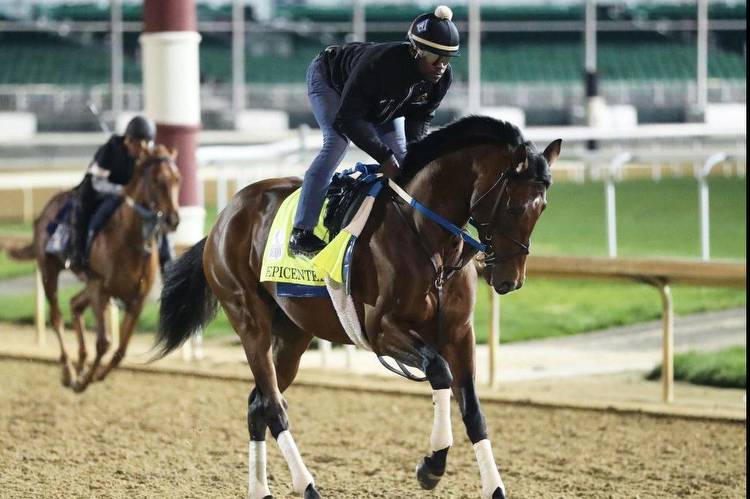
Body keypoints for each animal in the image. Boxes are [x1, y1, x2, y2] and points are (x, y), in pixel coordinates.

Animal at [5, 145, 181, 394]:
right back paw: (69, 371)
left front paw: (94, 374)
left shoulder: (137, 297)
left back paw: (80, 362)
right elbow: (104, 342)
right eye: (156, 180)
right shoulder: (100, 288)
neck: (130, 239)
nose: (173, 219)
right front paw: (83, 380)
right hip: (50, 270)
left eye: (178, 179)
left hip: (89, 284)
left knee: (75, 304)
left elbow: (121, 350)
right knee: (57, 318)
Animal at [156, 115, 560, 498]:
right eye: (515, 207)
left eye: (542, 209)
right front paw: (432, 464)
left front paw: (494, 487)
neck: (427, 237)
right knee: (273, 405)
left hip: (292, 335)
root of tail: (224, 217)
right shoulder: (382, 331)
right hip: (248, 318)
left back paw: (261, 491)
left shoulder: (459, 333)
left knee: (258, 404)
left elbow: (473, 410)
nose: (510, 279)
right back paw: (307, 486)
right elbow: (439, 371)